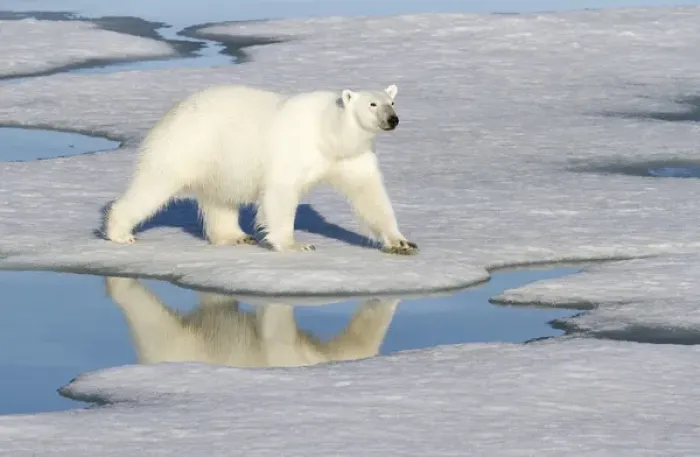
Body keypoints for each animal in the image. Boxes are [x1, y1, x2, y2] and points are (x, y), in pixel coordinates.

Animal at [104, 83, 418, 255]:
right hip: (187, 145)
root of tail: (172, 111)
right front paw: (297, 244)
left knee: (220, 199)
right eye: (372, 104)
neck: (328, 133)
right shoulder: (293, 151)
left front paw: (402, 242)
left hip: (219, 160)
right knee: (154, 184)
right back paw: (120, 232)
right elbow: (281, 193)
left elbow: (369, 195)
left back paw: (236, 235)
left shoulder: (353, 157)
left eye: (392, 101)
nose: (392, 119)